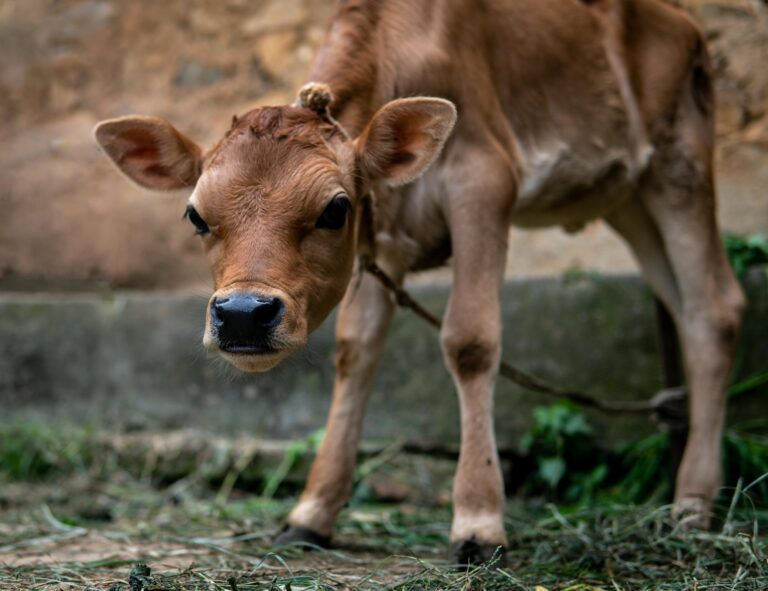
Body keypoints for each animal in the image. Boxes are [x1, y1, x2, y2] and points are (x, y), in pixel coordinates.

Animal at [93, 0, 745, 565]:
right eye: (195, 215)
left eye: (334, 209)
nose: (243, 313)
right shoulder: (383, 231)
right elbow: (356, 352)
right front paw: (311, 512)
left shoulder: (484, 179)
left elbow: (470, 341)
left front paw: (479, 522)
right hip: (628, 198)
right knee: (682, 305)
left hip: (680, 164)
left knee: (715, 308)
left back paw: (693, 504)